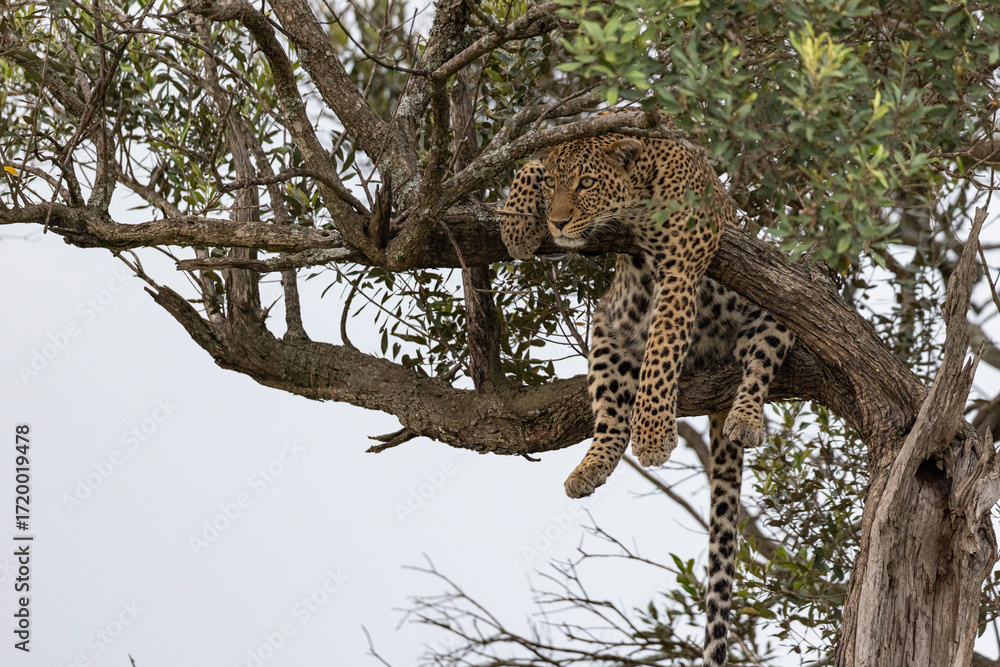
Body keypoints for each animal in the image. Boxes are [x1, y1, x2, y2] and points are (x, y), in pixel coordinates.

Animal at [498, 117, 795, 667]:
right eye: (554, 187)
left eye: (586, 184)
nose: (557, 224)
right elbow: (528, 160)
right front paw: (516, 225)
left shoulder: (681, 269)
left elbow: (661, 353)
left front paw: (655, 435)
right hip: (606, 328)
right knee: (610, 416)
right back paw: (590, 466)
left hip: (776, 306)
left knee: (756, 367)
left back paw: (744, 418)